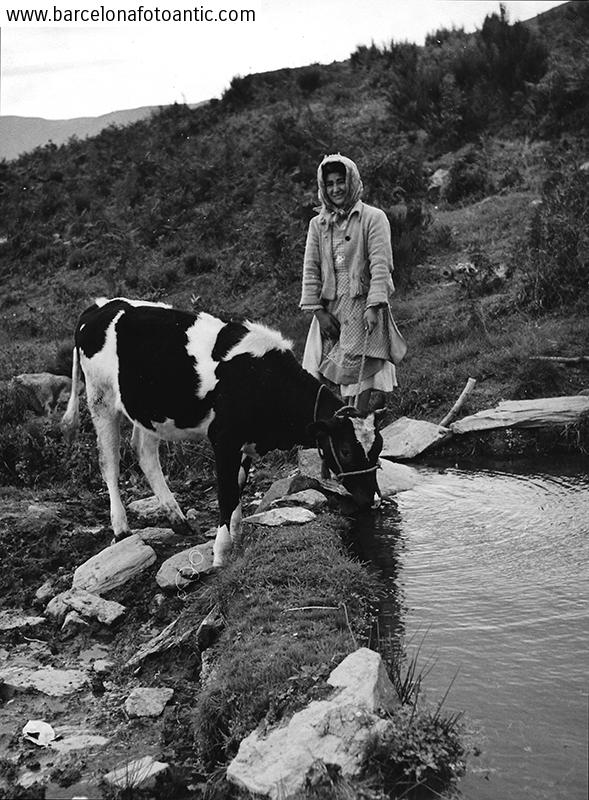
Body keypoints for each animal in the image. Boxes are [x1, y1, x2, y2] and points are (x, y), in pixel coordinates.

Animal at [60, 300, 386, 568]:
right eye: (345, 450)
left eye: (378, 449)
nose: (371, 500)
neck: (263, 378)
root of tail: (101, 306)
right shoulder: (224, 439)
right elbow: (226, 492)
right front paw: (221, 551)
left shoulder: (245, 441)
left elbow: (239, 485)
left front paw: (237, 535)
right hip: (100, 399)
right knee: (109, 462)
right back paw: (121, 527)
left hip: (148, 410)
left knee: (144, 451)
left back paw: (177, 518)